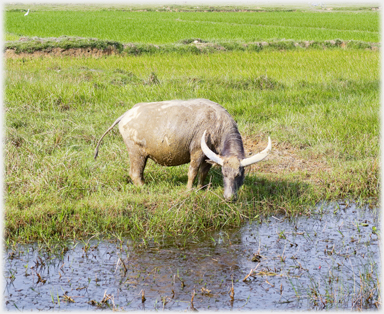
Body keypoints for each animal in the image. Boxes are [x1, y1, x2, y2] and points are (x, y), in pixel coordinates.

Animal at [94, 98, 272, 201]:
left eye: (239, 174)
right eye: (224, 174)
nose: (229, 198)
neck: (217, 124)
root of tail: (126, 115)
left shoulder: (208, 155)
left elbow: (203, 172)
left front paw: (202, 188)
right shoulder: (197, 152)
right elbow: (192, 171)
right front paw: (189, 190)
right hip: (136, 152)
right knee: (135, 173)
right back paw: (144, 188)